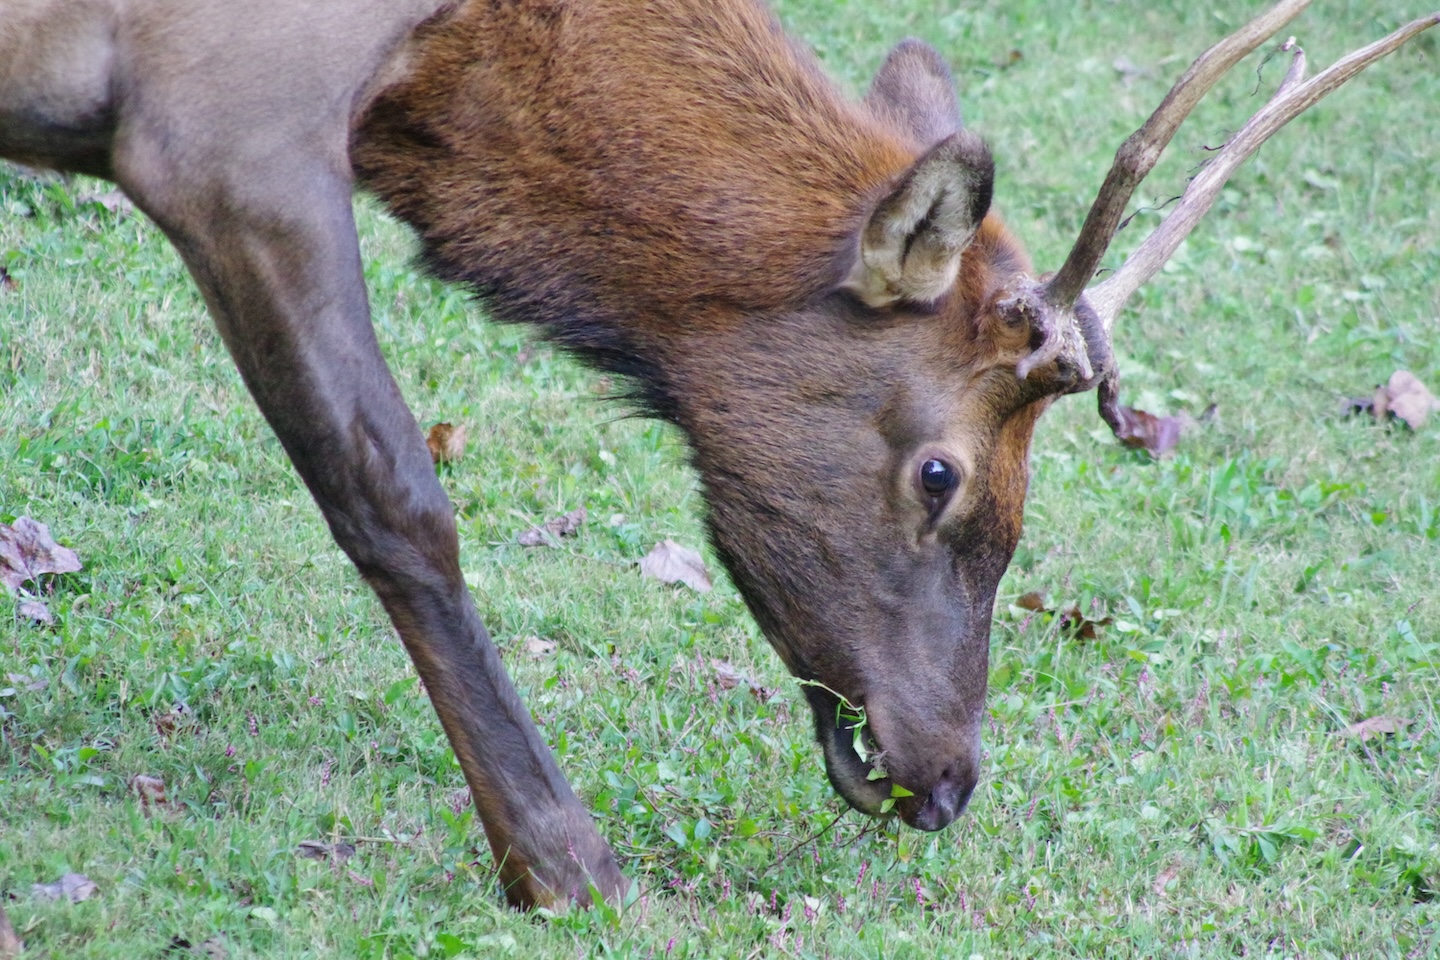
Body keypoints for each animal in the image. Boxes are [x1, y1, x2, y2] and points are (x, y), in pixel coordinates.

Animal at [0, 0, 1433, 910]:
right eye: (941, 473)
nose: (948, 777)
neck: (428, 64)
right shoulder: (227, 134)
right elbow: (394, 494)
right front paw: (565, 865)